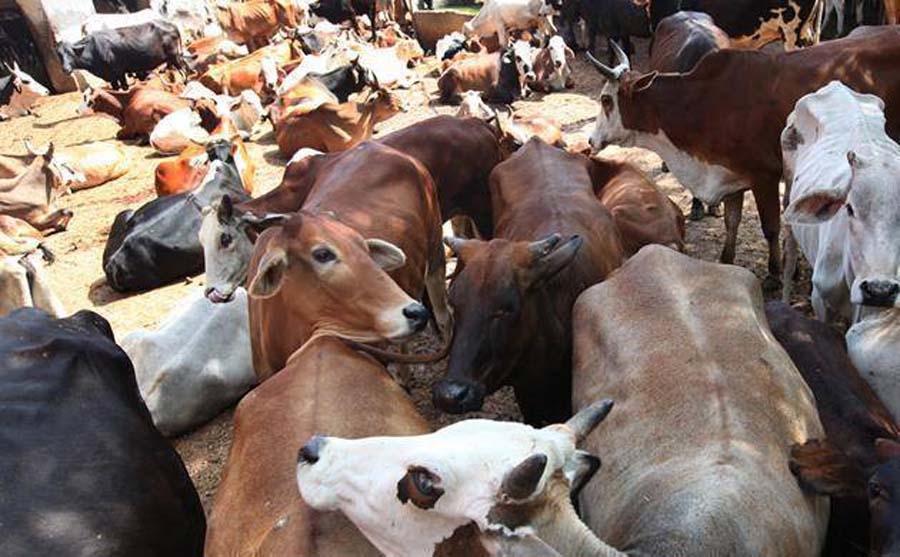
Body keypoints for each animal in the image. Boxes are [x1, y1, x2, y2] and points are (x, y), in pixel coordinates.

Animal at [56, 20, 184, 90]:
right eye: (59, 56)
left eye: (70, 53)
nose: (65, 69)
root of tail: (171, 24)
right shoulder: (112, 77)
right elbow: (116, 88)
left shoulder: (119, 72)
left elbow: (124, 87)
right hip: (171, 57)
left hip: (174, 55)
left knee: (182, 69)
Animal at [588, 27, 900, 289]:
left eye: (606, 100)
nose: (591, 141)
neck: (705, 102)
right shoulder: (730, 174)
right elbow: (732, 221)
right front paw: (727, 259)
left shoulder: (764, 176)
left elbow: (770, 227)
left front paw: (774, 273)